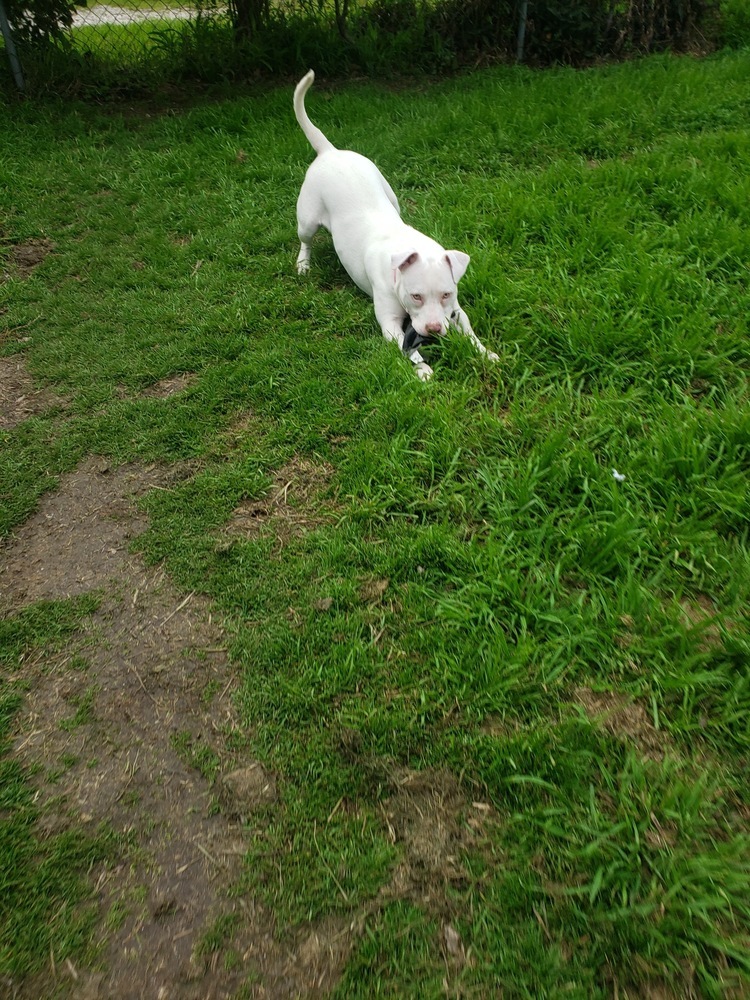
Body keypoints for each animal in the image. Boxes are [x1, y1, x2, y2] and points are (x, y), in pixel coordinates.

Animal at [294, 70, 500, 380]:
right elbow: (406, 348)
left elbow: (471, 333)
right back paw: (303, 264)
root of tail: (329, 152)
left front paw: (486, 353)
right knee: (305, 240)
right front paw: (423, 369)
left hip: (389, 192)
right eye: (416, 296)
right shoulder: (390, 322)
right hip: (307, 220)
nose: (434, 330)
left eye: (446, 294)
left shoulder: (457, 311)